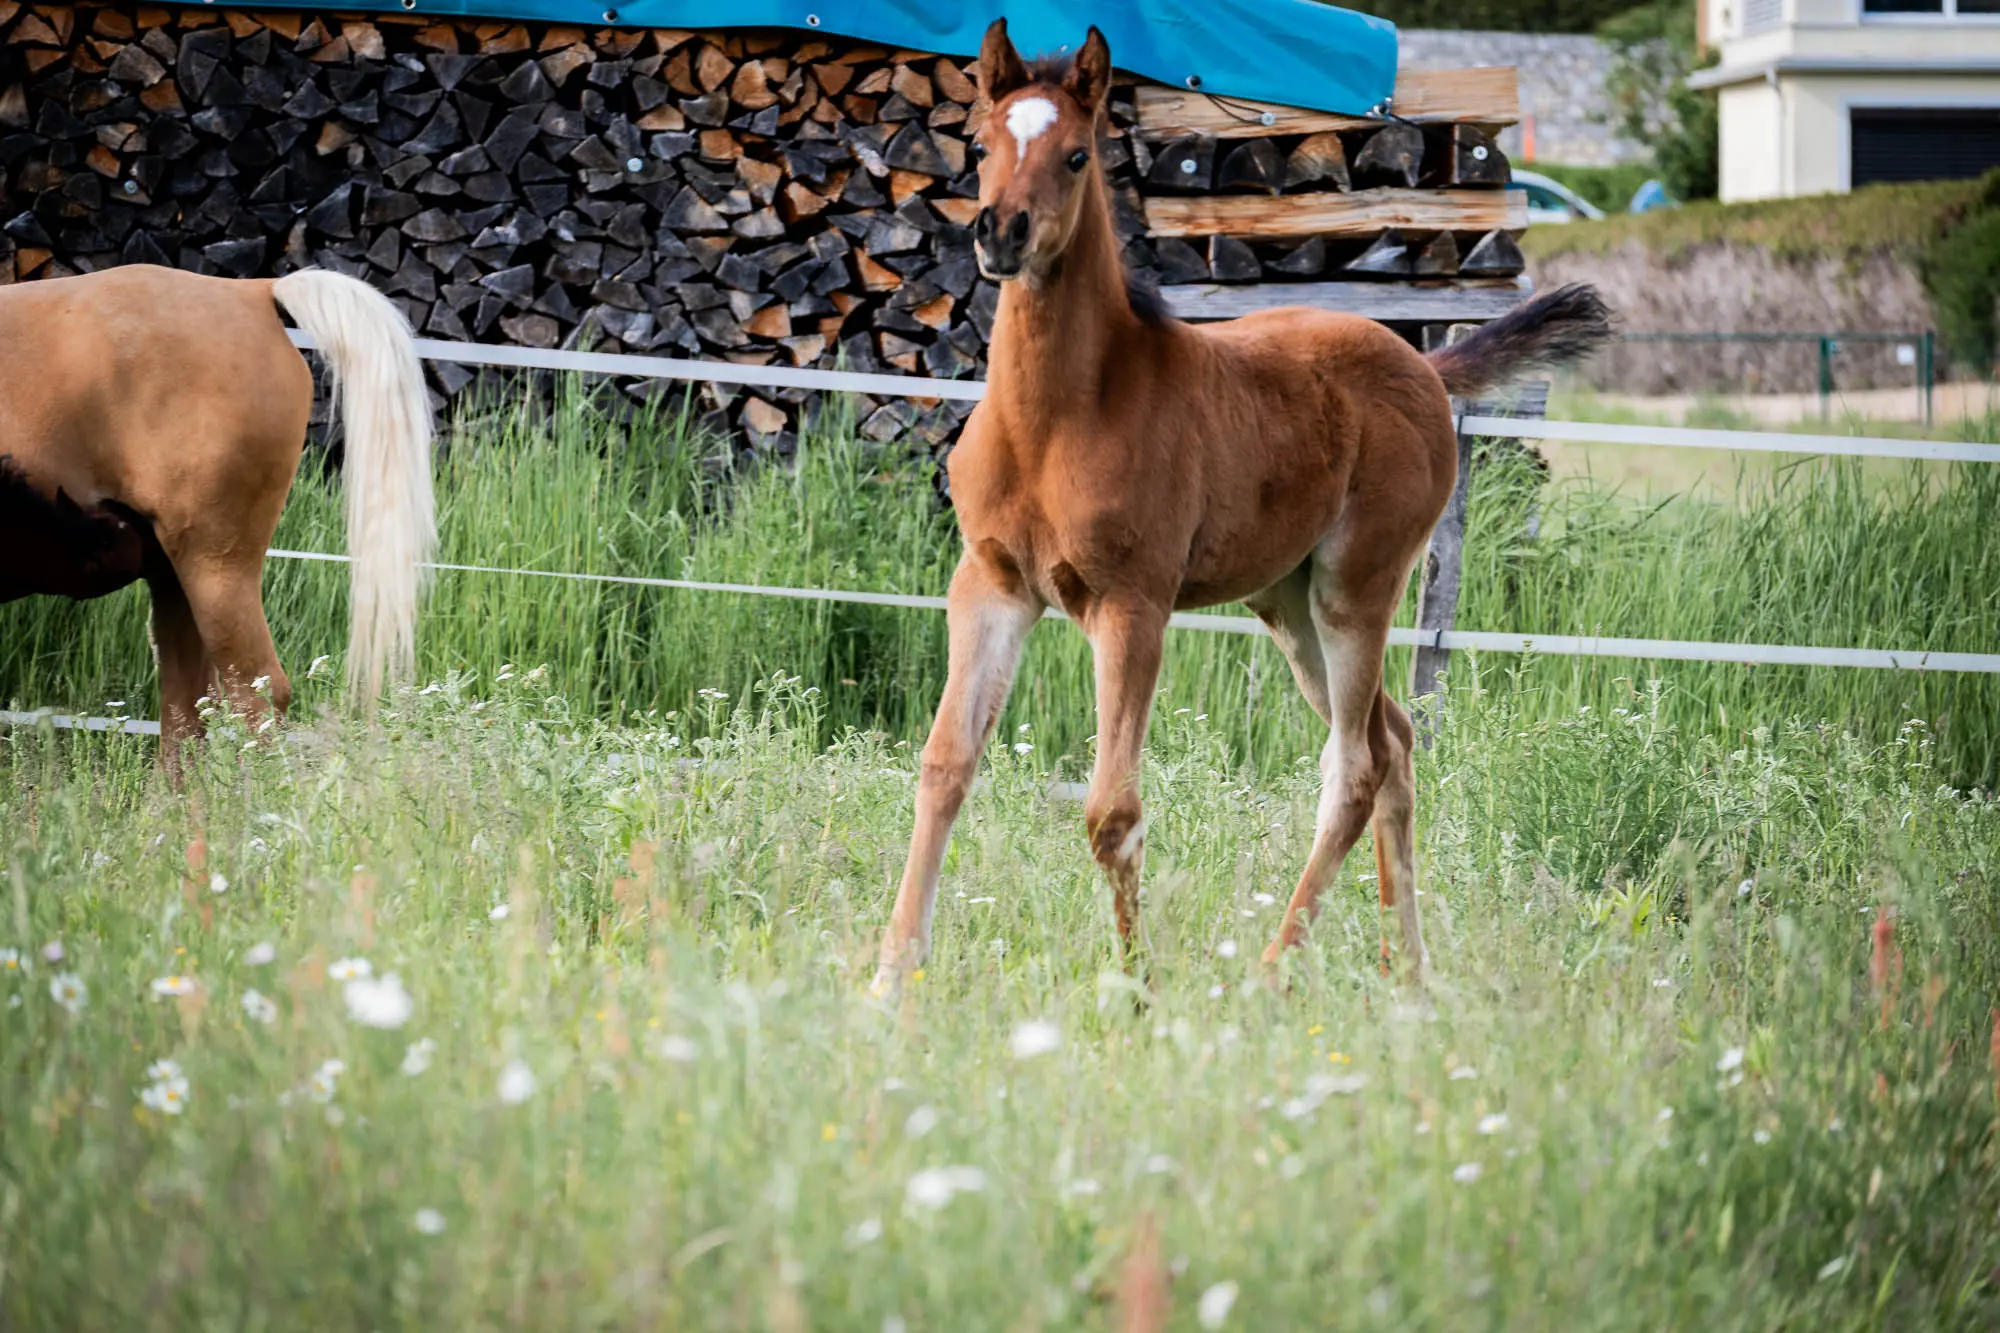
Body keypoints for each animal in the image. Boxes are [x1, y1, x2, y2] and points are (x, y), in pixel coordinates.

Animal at [872, 20, 1612, 994]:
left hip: (1354, 591)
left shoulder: (1133, 606)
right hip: (1286, 603)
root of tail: (1424, 365)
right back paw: (1407, 973)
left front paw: (1137, 990)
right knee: (1396, 741)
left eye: (1076, 155)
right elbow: (944, 765)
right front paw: (888, 980)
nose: (1002, 232)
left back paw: (1272, 970)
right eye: (984, 145)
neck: (1058, 416)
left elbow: (1111, 810)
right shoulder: (990, 586)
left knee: (1358, 764)